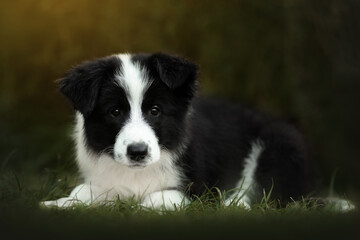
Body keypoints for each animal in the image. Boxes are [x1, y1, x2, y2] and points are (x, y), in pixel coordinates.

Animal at [40, 52, 350, 210]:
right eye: (115, 112)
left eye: (155, 110)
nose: (138, 152)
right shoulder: (104, 178)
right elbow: (83, 190)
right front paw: (57, 202)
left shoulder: (198, 189)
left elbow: (154, 199)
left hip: (279, 143)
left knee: (270, 195)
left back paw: (233, 205)